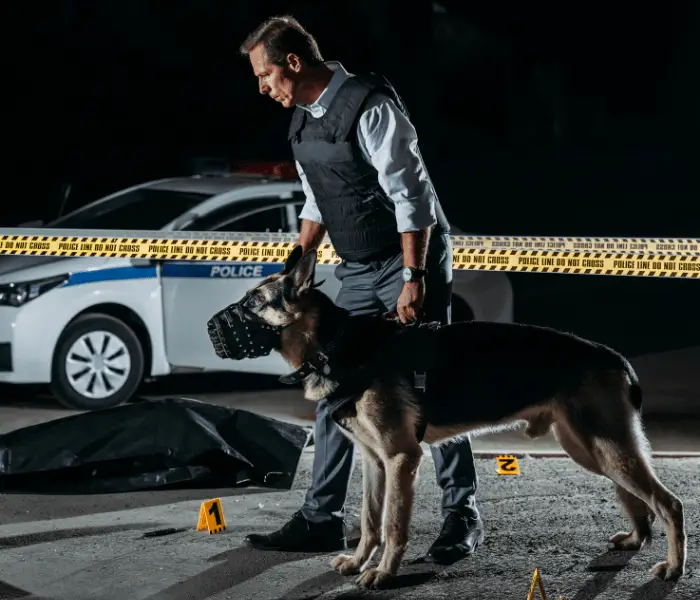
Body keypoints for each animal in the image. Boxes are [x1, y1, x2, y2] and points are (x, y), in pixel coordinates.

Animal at [209, 246, 688, 588]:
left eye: (253, 301)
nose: (212, 329)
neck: (332, 343)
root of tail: (612, 354)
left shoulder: (401, 459)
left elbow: (393, 524)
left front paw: (383, 573)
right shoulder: (374, 461)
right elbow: (370, 521)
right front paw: (360, 561)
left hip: (604, 447)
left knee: (669, 503)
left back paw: (673, 566)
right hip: (590, 448)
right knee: (639, 499)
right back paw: (637, 539)